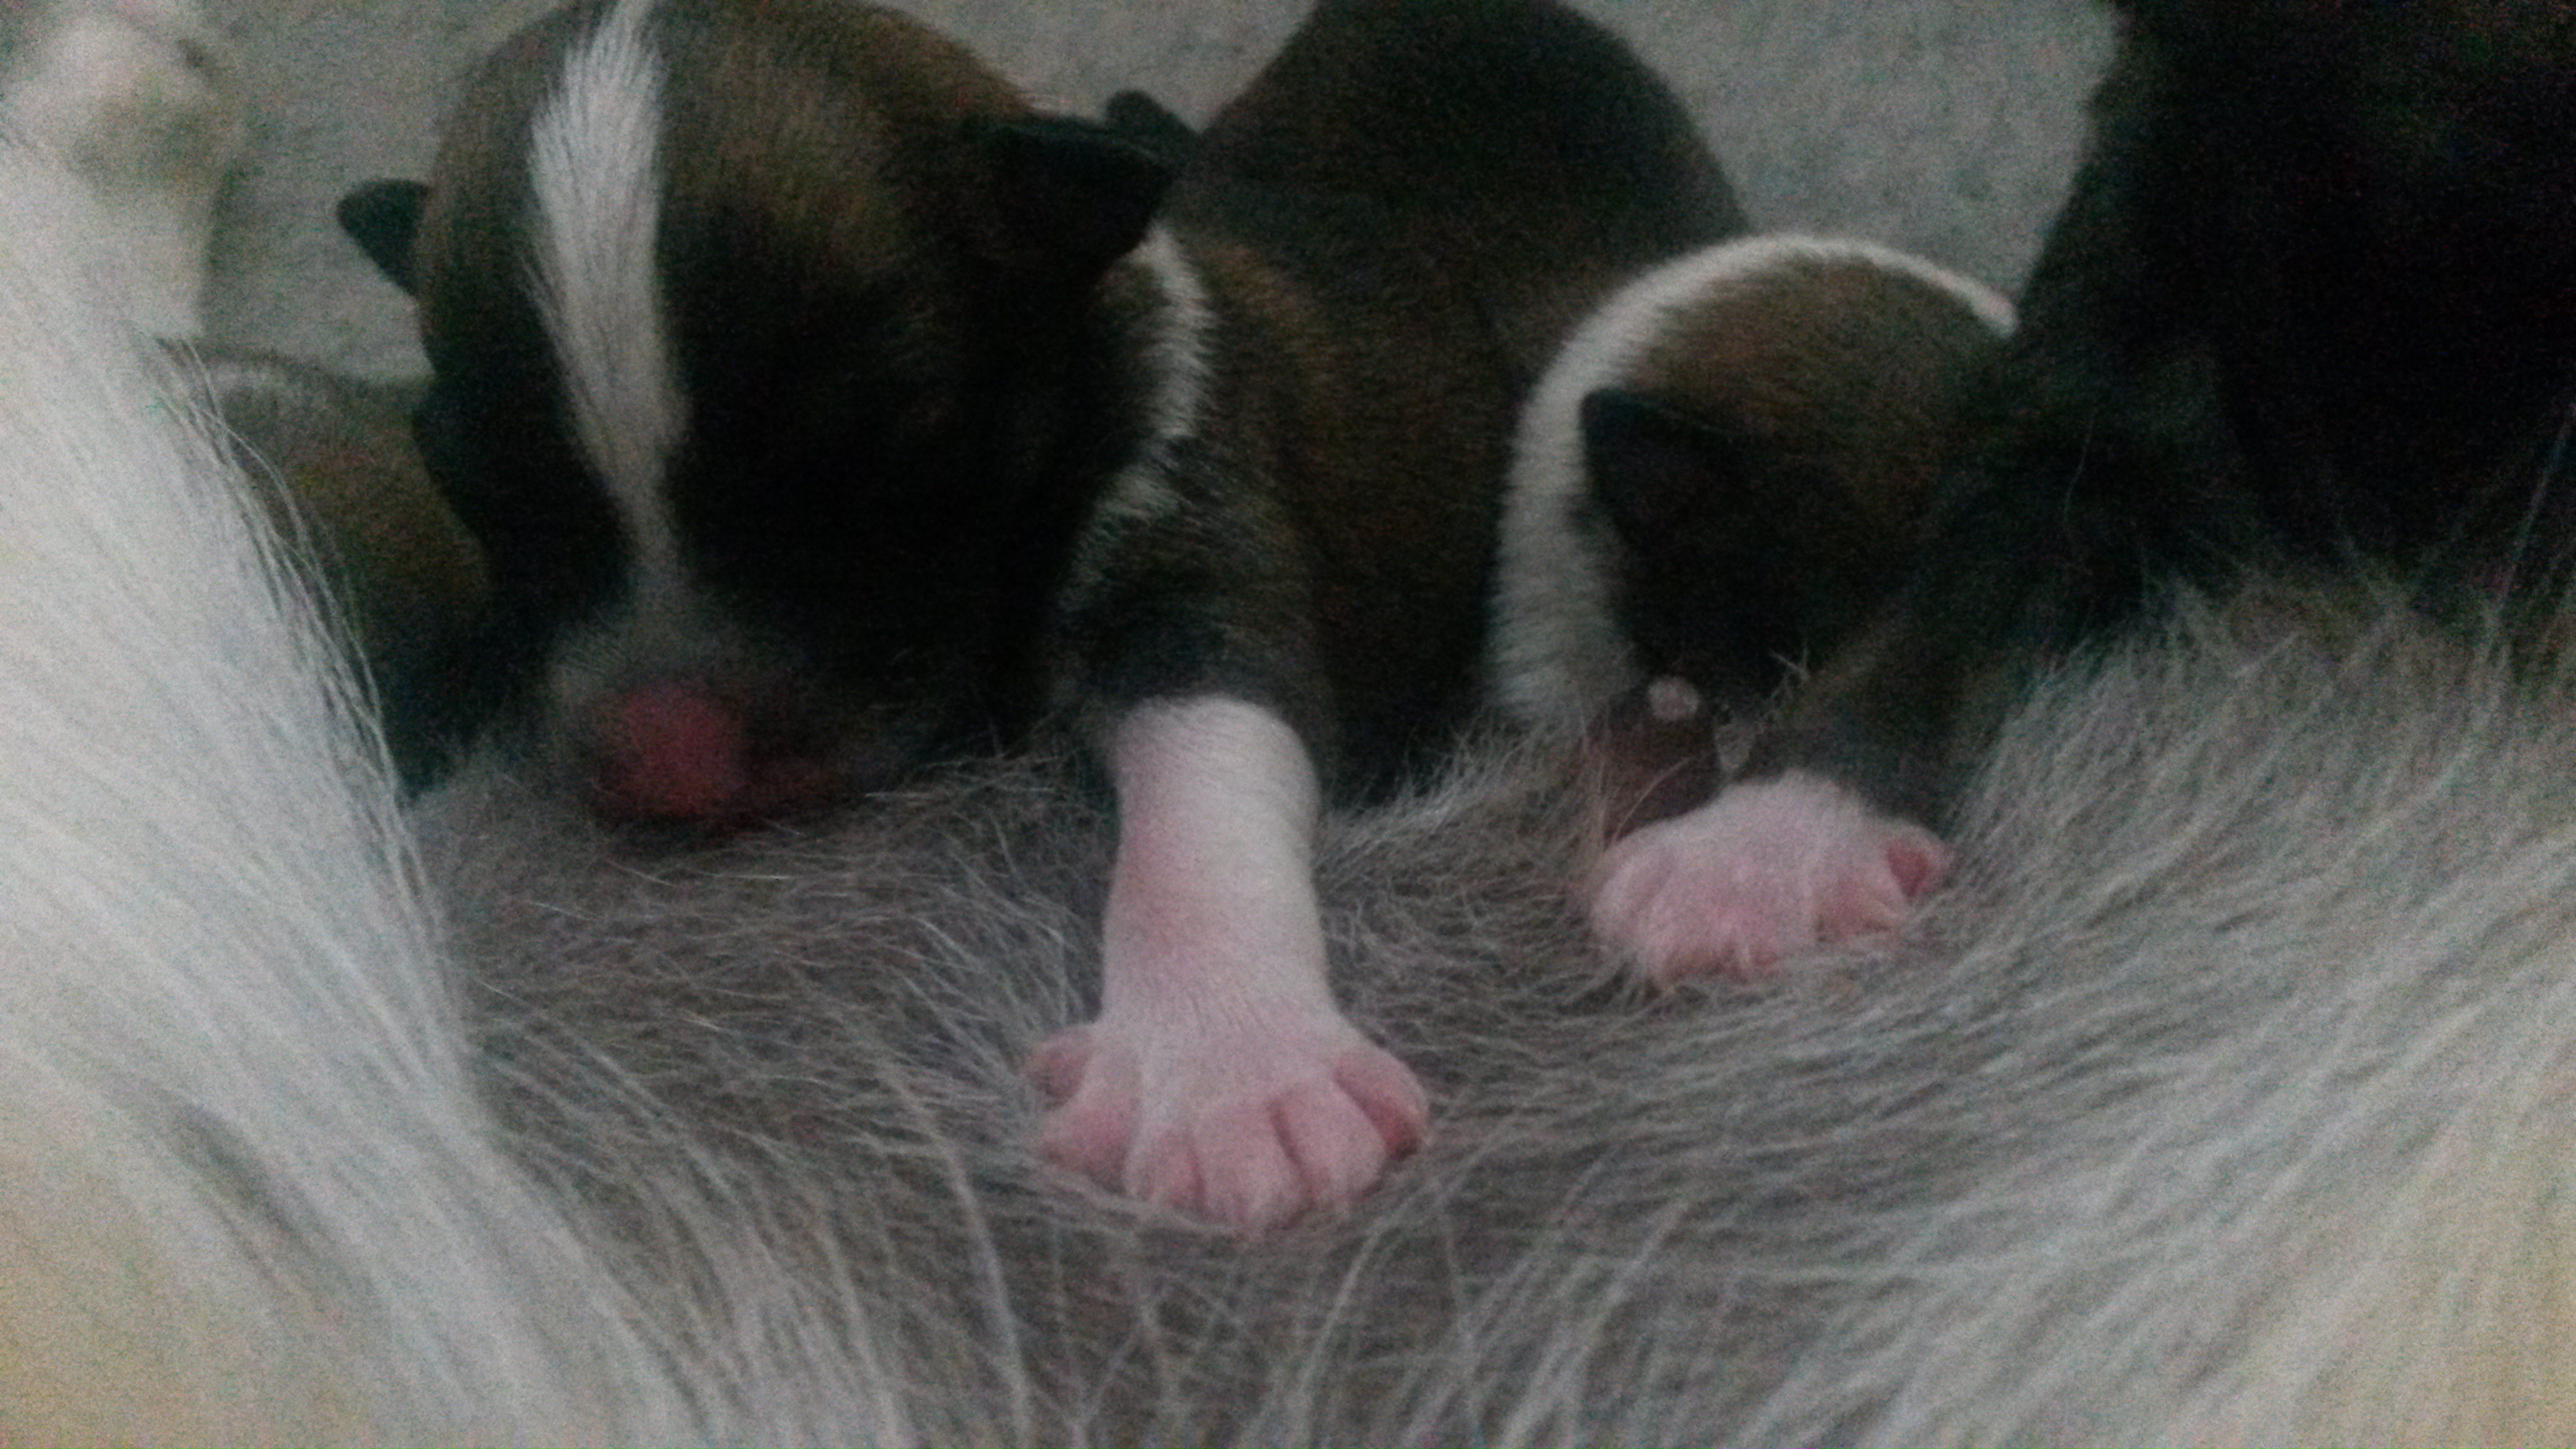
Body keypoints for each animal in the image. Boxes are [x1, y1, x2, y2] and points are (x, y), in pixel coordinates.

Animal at [333, 0, 1742, 1228]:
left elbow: (1204, 788)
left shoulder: (1199, 558)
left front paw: (1225, 1065)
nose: (661, 757)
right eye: (469, 479)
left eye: (883, 456)